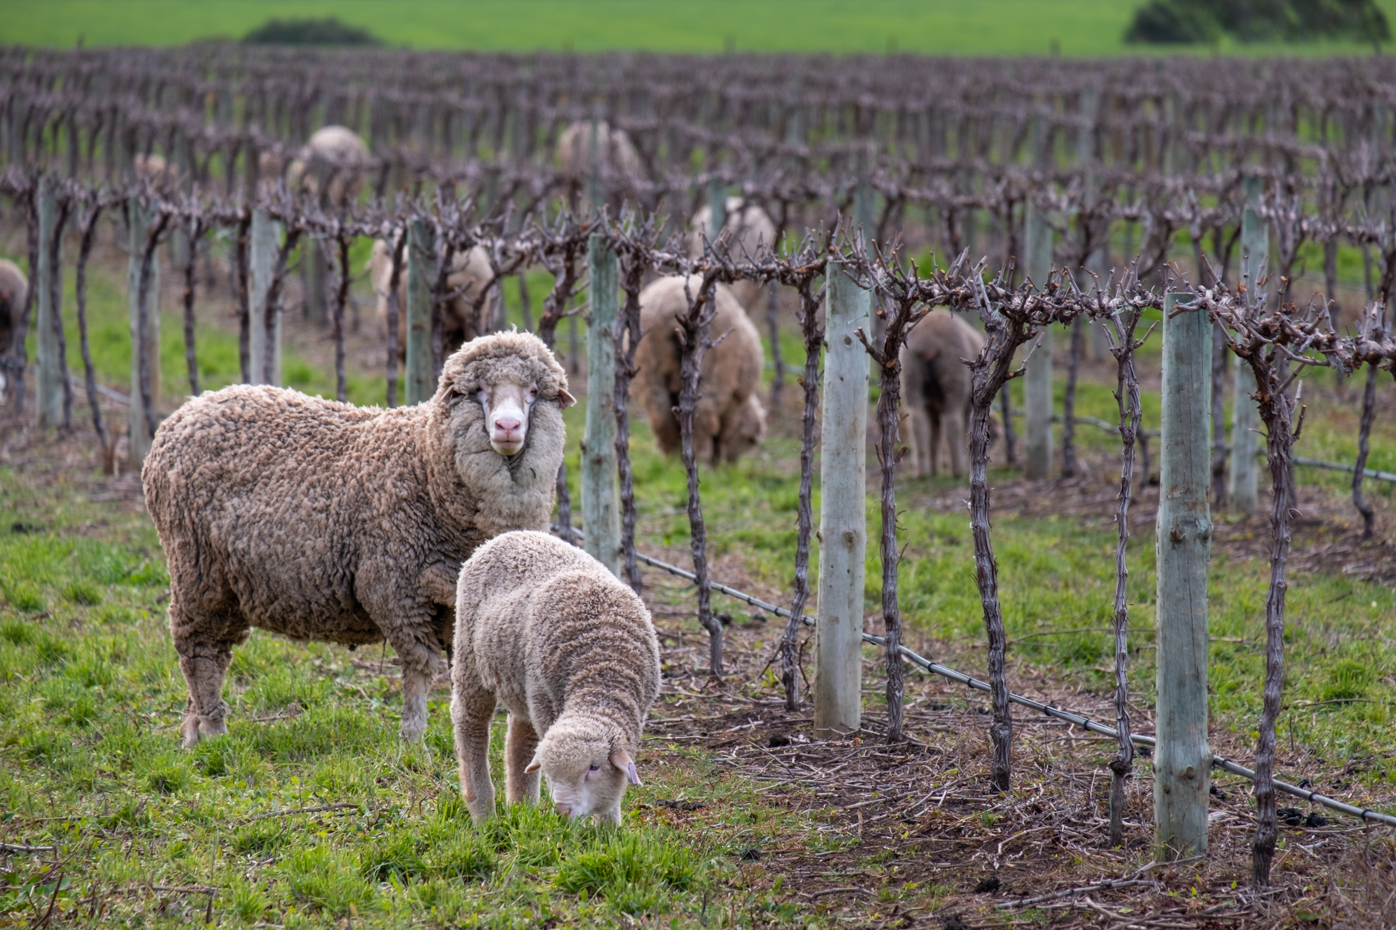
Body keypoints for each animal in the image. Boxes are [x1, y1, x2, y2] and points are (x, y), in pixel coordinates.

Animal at [142, 331, 575, 749]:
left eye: (534, 391)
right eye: (478, 390)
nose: (507, 427)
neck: (425, 463)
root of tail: (184, 412)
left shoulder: (456, 603)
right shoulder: (392, 586)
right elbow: (419, 668)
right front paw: (413, 742)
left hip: (227, 583)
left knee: (214, 653)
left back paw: (194, 730)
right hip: (196, 568)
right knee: (199, 650)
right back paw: (214, 734)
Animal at [451, 530, 660, 825]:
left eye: (594, 767)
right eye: (551, 774)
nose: (562, 809)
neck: (602, 671)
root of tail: (509, 535)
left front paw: (609, 828)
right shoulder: (547, 702)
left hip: (522, 681)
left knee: (520, 739)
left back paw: (522, 807)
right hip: (471, 658)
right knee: (470, 721)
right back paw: (484, 812)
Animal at [632, 275, 767, 465]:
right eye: (748, 442)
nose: (731, 466)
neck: (737, 405)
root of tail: (672, 306)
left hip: (648, 370)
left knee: (661, 417)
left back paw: (671, 461)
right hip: (710, 370)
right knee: (702, 417)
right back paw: (701, 461)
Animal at [900, 309, 996, 479]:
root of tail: (929, 341)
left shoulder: (931, 405)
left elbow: (934, 435)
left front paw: (933, 469)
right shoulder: (969, 405)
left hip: (911, 376)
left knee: (918, 421)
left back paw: (922, 473)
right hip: (954, 377)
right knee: (953, 422)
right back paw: (957, 470)